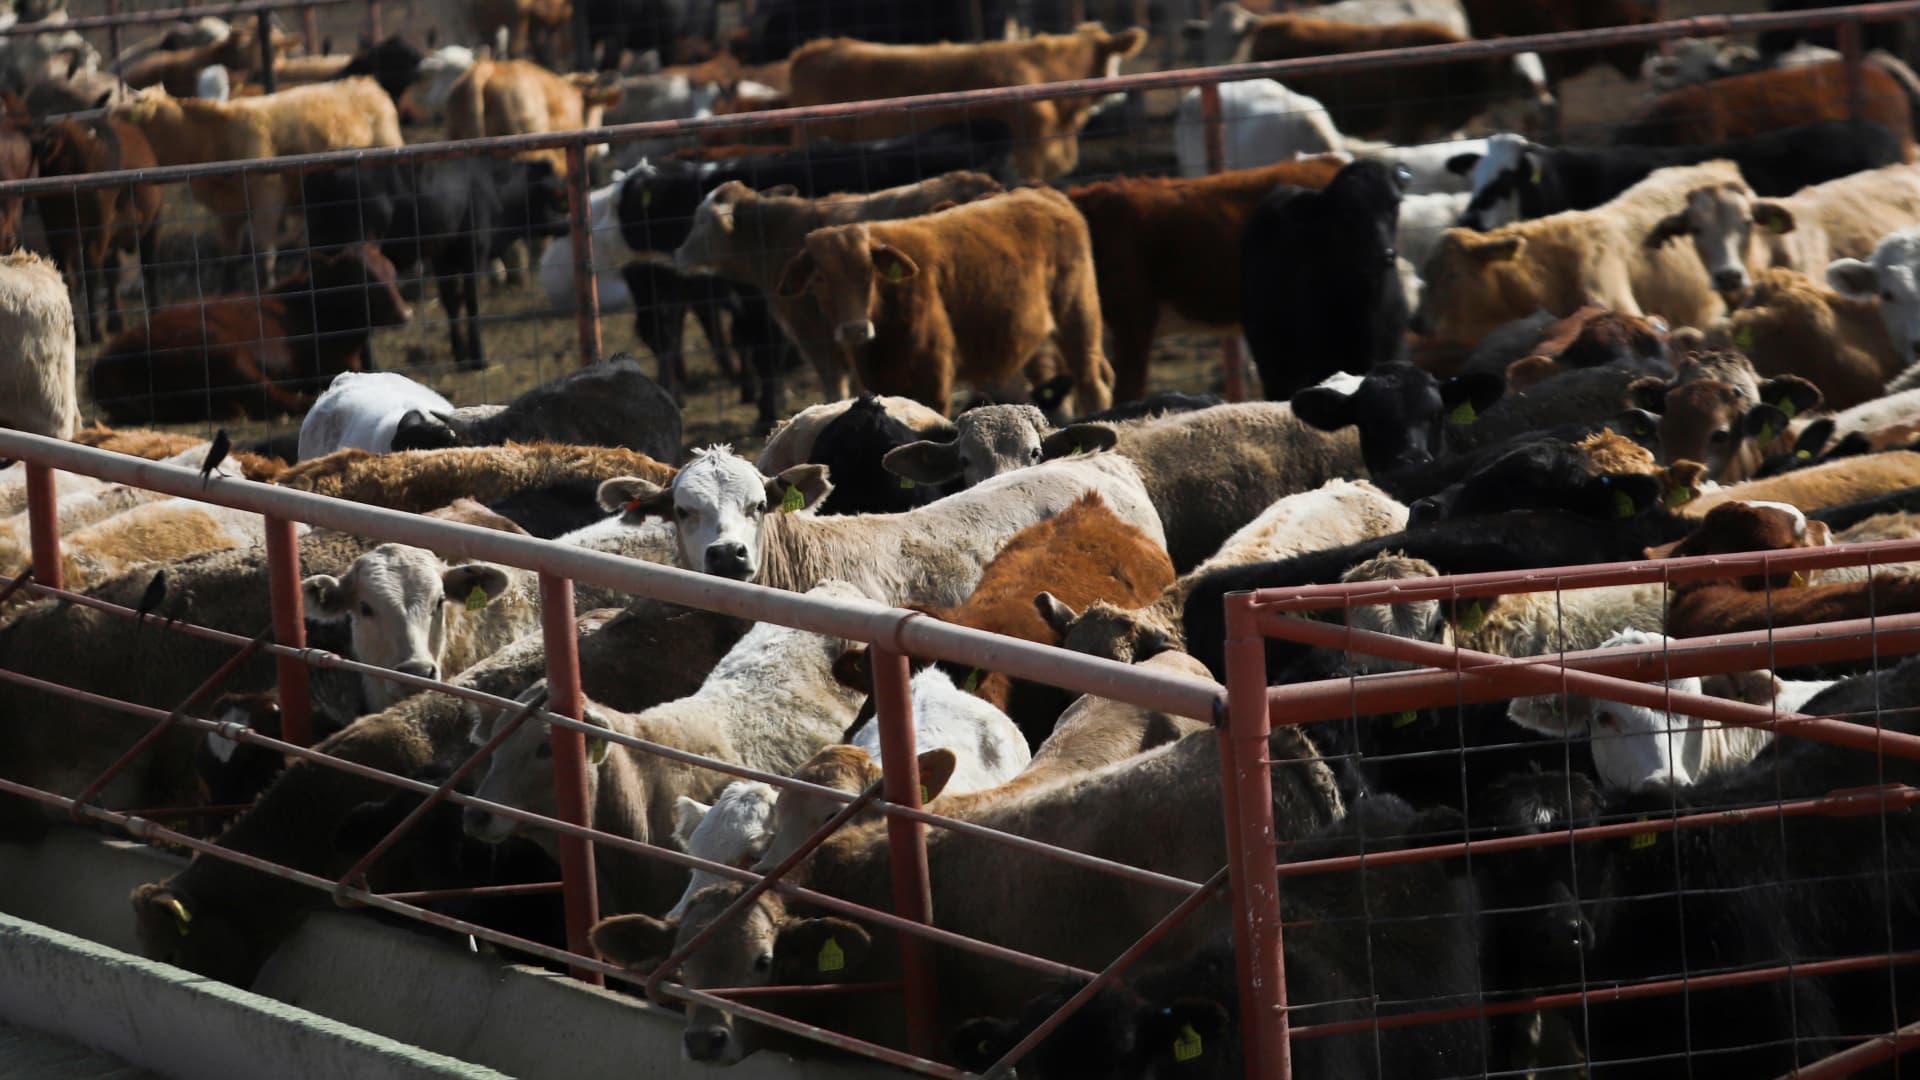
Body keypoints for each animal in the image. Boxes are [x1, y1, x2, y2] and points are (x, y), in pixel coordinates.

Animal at [28, 117, 161, 345]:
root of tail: (65, 133)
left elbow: (112, 272)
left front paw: (115, 320)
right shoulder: (152, 224)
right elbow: (147, 268)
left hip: (57, 232)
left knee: (68, 275)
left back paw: (78, 331)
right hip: (96, 232)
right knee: (91, 271)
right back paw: (94, 331)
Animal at [90, 246, 410, 425]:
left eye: (391, 272)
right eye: (361, 279)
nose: (405, 313)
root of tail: (106, 361)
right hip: (227, 356)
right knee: (273, 398)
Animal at [775, 187, 1112, 416]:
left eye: (868, 271)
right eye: (820, 278)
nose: (855, 329)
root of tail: (1044, 194)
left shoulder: (933, 380)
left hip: (1079, 321)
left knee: (1092, 386)